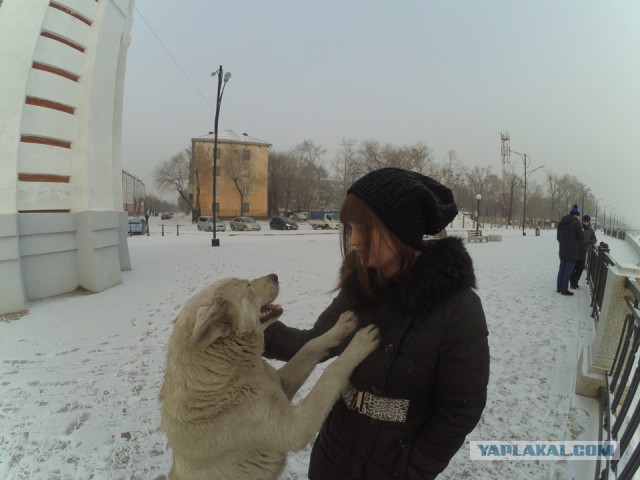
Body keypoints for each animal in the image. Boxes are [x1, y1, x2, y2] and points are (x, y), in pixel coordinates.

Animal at [161, 274, 380, 480]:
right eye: (248, 285)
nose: (275, 276)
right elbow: (332, 371)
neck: (224, 375)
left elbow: (311, 346)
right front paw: (360, 343)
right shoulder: (295, 428)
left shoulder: (282, 384)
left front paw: (342, 325)